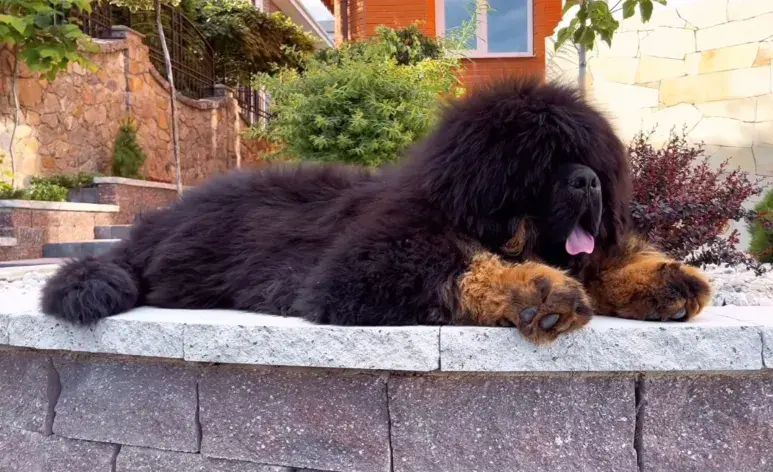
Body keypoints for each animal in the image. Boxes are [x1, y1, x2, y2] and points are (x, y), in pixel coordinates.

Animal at [40, 75, 704, 344]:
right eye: (541, 161)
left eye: (588, 159)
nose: (589, 183)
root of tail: (149, 227)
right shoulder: (361, 268)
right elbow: (467, 266)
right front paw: (537, 289)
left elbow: (601, 260)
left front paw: (662, 278)